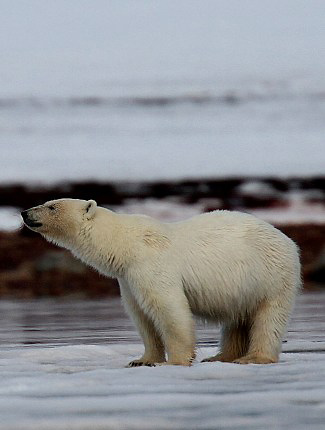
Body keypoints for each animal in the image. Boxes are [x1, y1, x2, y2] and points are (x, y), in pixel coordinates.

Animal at [21, 199, 300, 366]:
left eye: (51, 206)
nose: (24, 212)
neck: (125, 245)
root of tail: (288, 240)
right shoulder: (128, 279)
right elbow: (141, 317)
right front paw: (142, 359)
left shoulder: (150, 266)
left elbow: (168, 310)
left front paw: (175, 361)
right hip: (244, 285)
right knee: (237, 318)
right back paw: (221, 356)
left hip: (272, 277)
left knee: (268, 317)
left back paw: (253, 357)